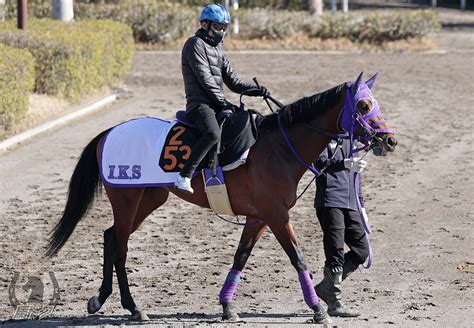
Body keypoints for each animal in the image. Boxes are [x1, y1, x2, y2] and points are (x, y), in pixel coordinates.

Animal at [47, 72, 396, 322]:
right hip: (127, 199)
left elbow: (240, 257)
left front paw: (227, 306)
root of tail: (108, 132)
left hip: (150, 198)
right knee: (119, 246)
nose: (389, 140)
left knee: (111, 237)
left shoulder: (258, 218)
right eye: (364, 106)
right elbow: (297, 257)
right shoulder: (276, 215)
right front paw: (318, 309)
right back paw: (133, 307)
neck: (278, 148)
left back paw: (100, 299)